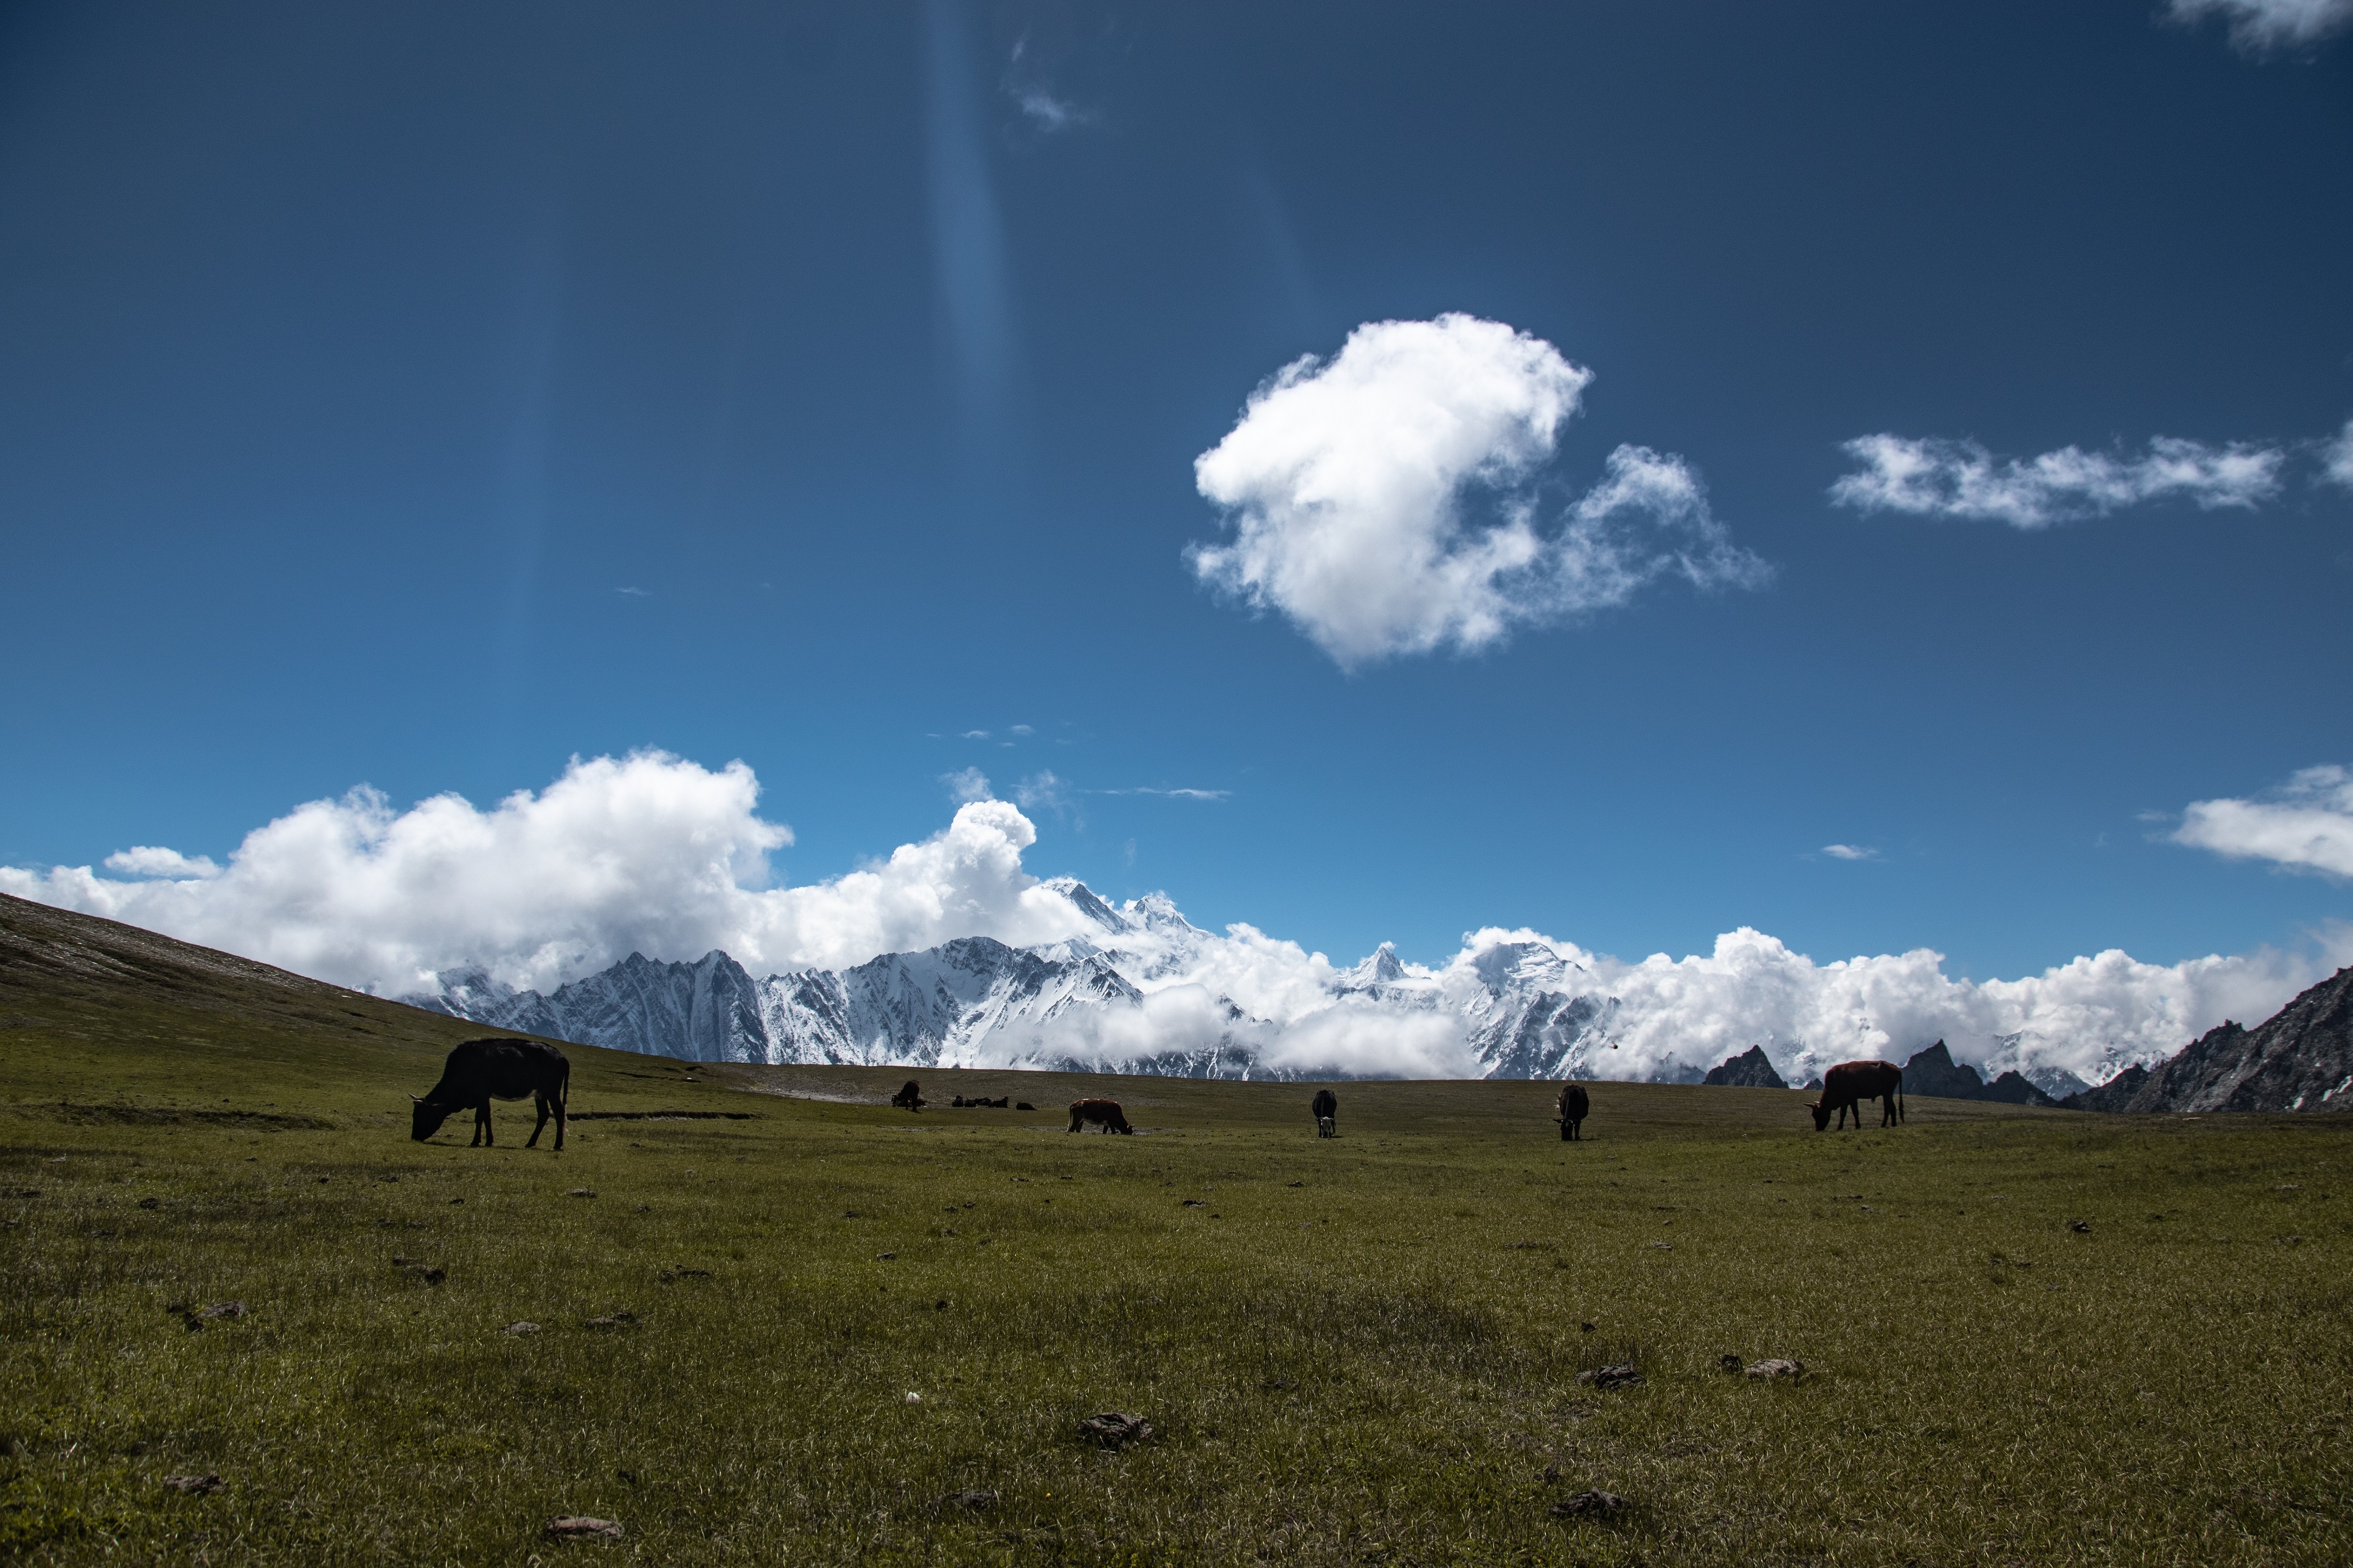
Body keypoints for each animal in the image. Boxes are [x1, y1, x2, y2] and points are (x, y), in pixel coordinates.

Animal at [409, 1036, 565, 1149]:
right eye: (414, 1115)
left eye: (423, 1115)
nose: (414, 1137)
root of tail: (560, 1055)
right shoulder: (485, 1097)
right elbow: (487, 1117)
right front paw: (489, 1141)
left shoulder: (481, 1095)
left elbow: (479, 1118)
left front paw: (475, 1142)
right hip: (541, 1094)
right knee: (544, 1115)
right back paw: (530, 1143)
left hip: (552, 1092)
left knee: (559, 1112)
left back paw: (557, 1145)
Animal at [1807, 1055, 1901, 1130]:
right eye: (1814, 1115)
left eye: (1819, 1114)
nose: (1818, 1129)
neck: (1836, 1080)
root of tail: (1896, 1068)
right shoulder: (1847, 1101)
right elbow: (1847, 1113)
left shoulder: (1851, 1100)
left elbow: (1851, 1113)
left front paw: (1846, 1127)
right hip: (1887, 1094)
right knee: (1891, 1107)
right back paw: (1892, 1125)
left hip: (1887, 1094)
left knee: (1888, 1108)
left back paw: (1884, 1125)